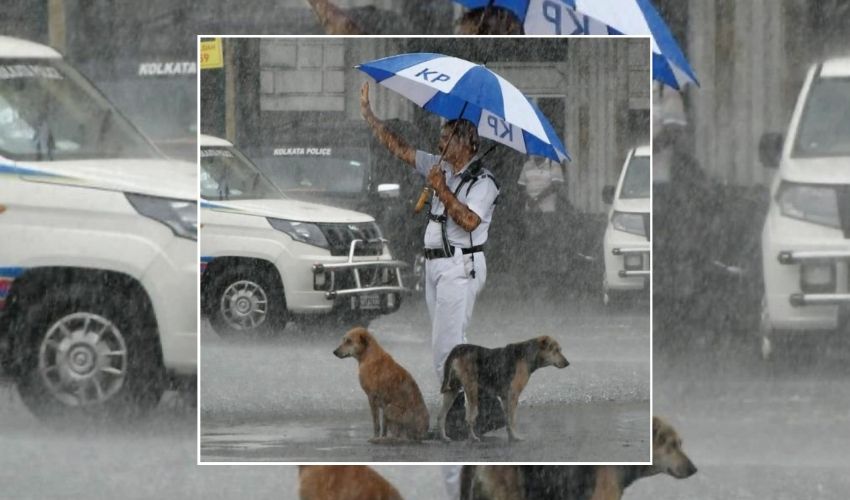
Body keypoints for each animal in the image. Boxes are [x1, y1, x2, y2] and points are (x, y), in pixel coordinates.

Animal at [438, 336, 568, 442]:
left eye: (560, 349)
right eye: (556, 350)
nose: (567, 363)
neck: (528, 354)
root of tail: (459, 348)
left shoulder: (506, 397)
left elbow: (507, 420)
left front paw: (511, 437)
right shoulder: (513, 395)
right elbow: (512, 419)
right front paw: (517, 437)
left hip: (452, 390)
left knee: (442, 416)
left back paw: (444, 437)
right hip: (472, 390)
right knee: (469, 418)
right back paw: (473, 438)